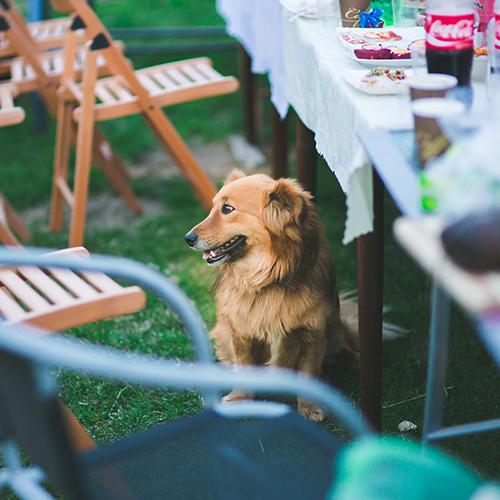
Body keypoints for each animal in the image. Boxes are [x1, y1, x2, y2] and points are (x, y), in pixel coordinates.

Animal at [186, 170, 358, 420]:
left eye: (227, 209)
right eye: (214, 207)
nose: (188, 238)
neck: (267, 278)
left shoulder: (312, 335)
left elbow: (308, 371)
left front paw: (309, 406)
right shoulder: (241, 332)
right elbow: (244, 365)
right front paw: (240, 398)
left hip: (333, 331)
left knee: (342, 346)